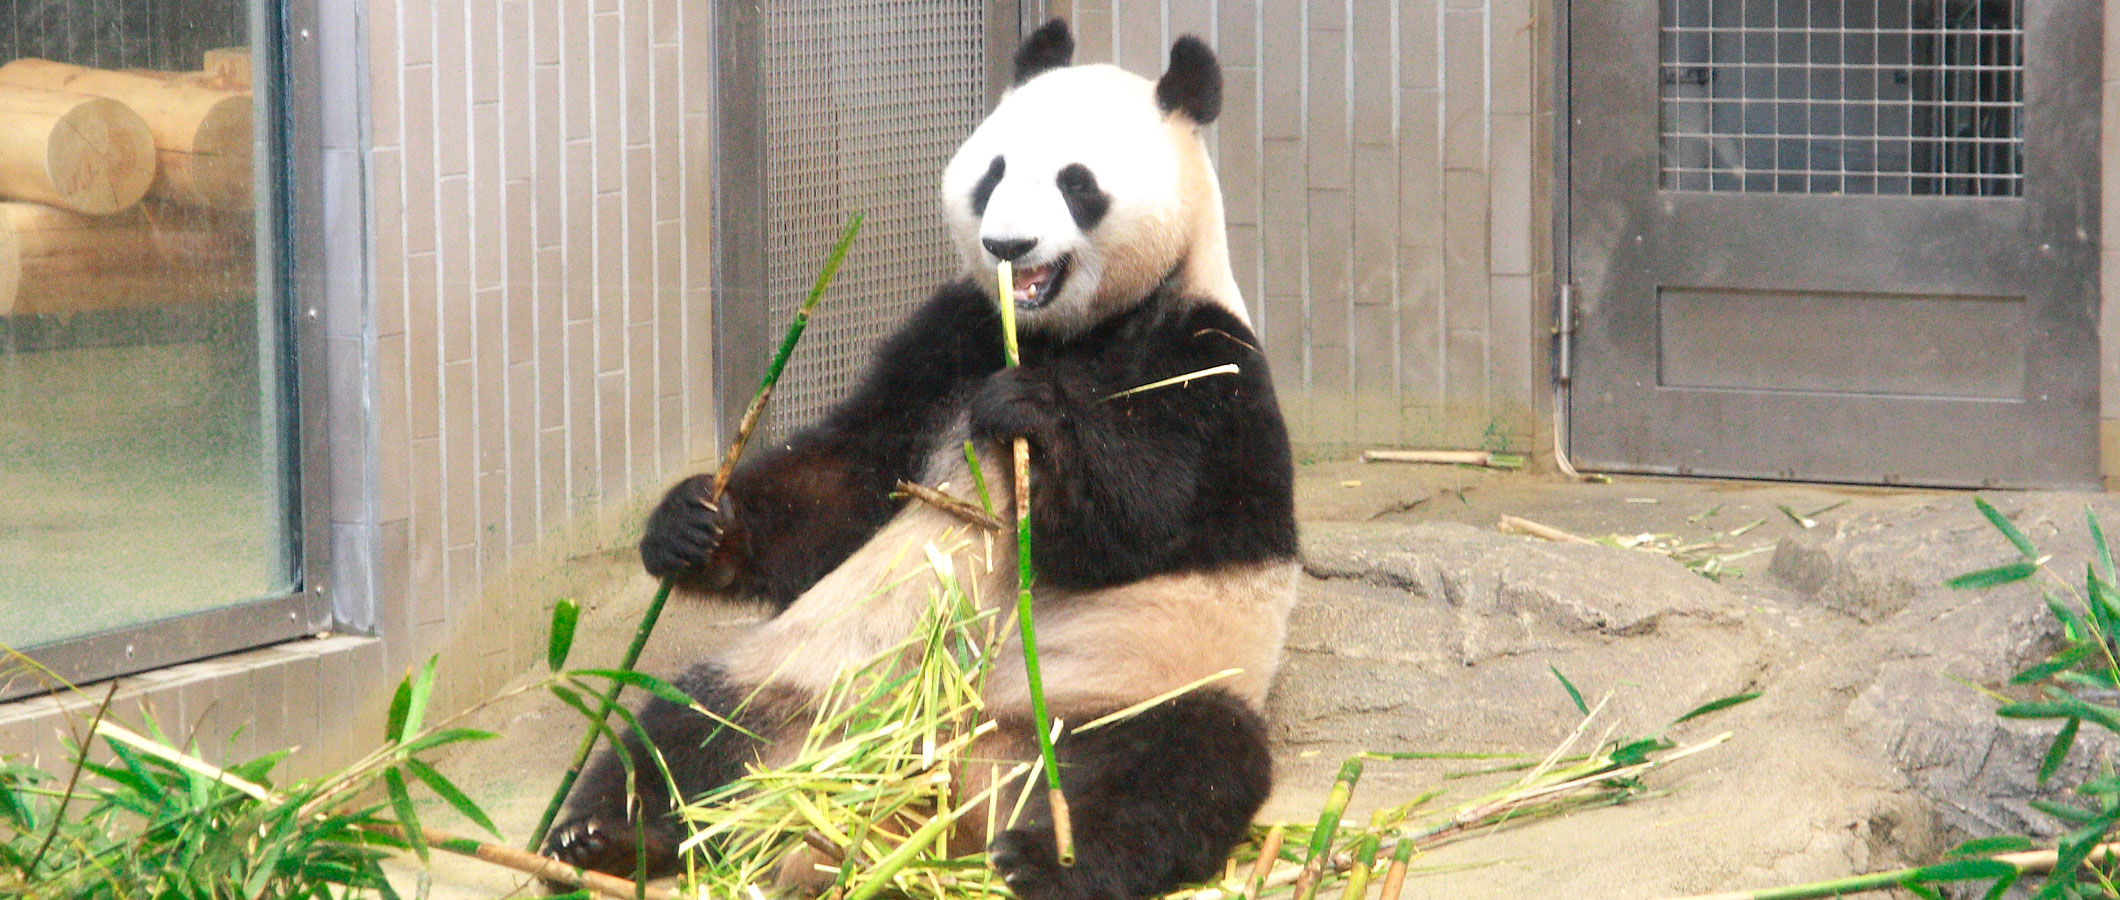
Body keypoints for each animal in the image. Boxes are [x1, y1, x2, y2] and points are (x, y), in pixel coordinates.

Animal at [538, 21, 1297, 897]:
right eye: (995, 171)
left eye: (1077, 183)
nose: (1008, 244)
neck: (1061, 333)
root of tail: (949, 796)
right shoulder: (950, 337)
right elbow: (846, 481)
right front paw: (696, 521)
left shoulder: (1209, 360)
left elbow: (1151, 515)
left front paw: (1031, 415)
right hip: (812, 681)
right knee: (691, 727)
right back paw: (604, 835)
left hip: (1127, 682)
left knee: (1170, 769)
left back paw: (1042, 859)